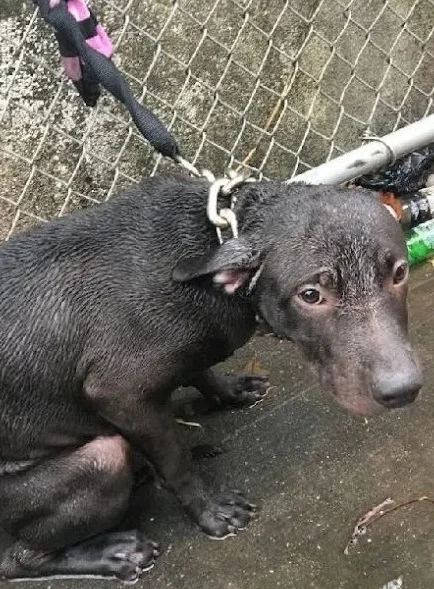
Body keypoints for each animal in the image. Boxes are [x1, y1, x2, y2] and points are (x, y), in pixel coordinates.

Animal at [0, 173, 422, 580]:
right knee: (18, 560)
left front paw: (231, 390)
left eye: (399, 272)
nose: (403, 390)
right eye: (310, 295)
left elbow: (201, 372)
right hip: (100, 460)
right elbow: (176, 461)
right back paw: (113, 553)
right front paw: (210, 511)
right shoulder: (119, 393)